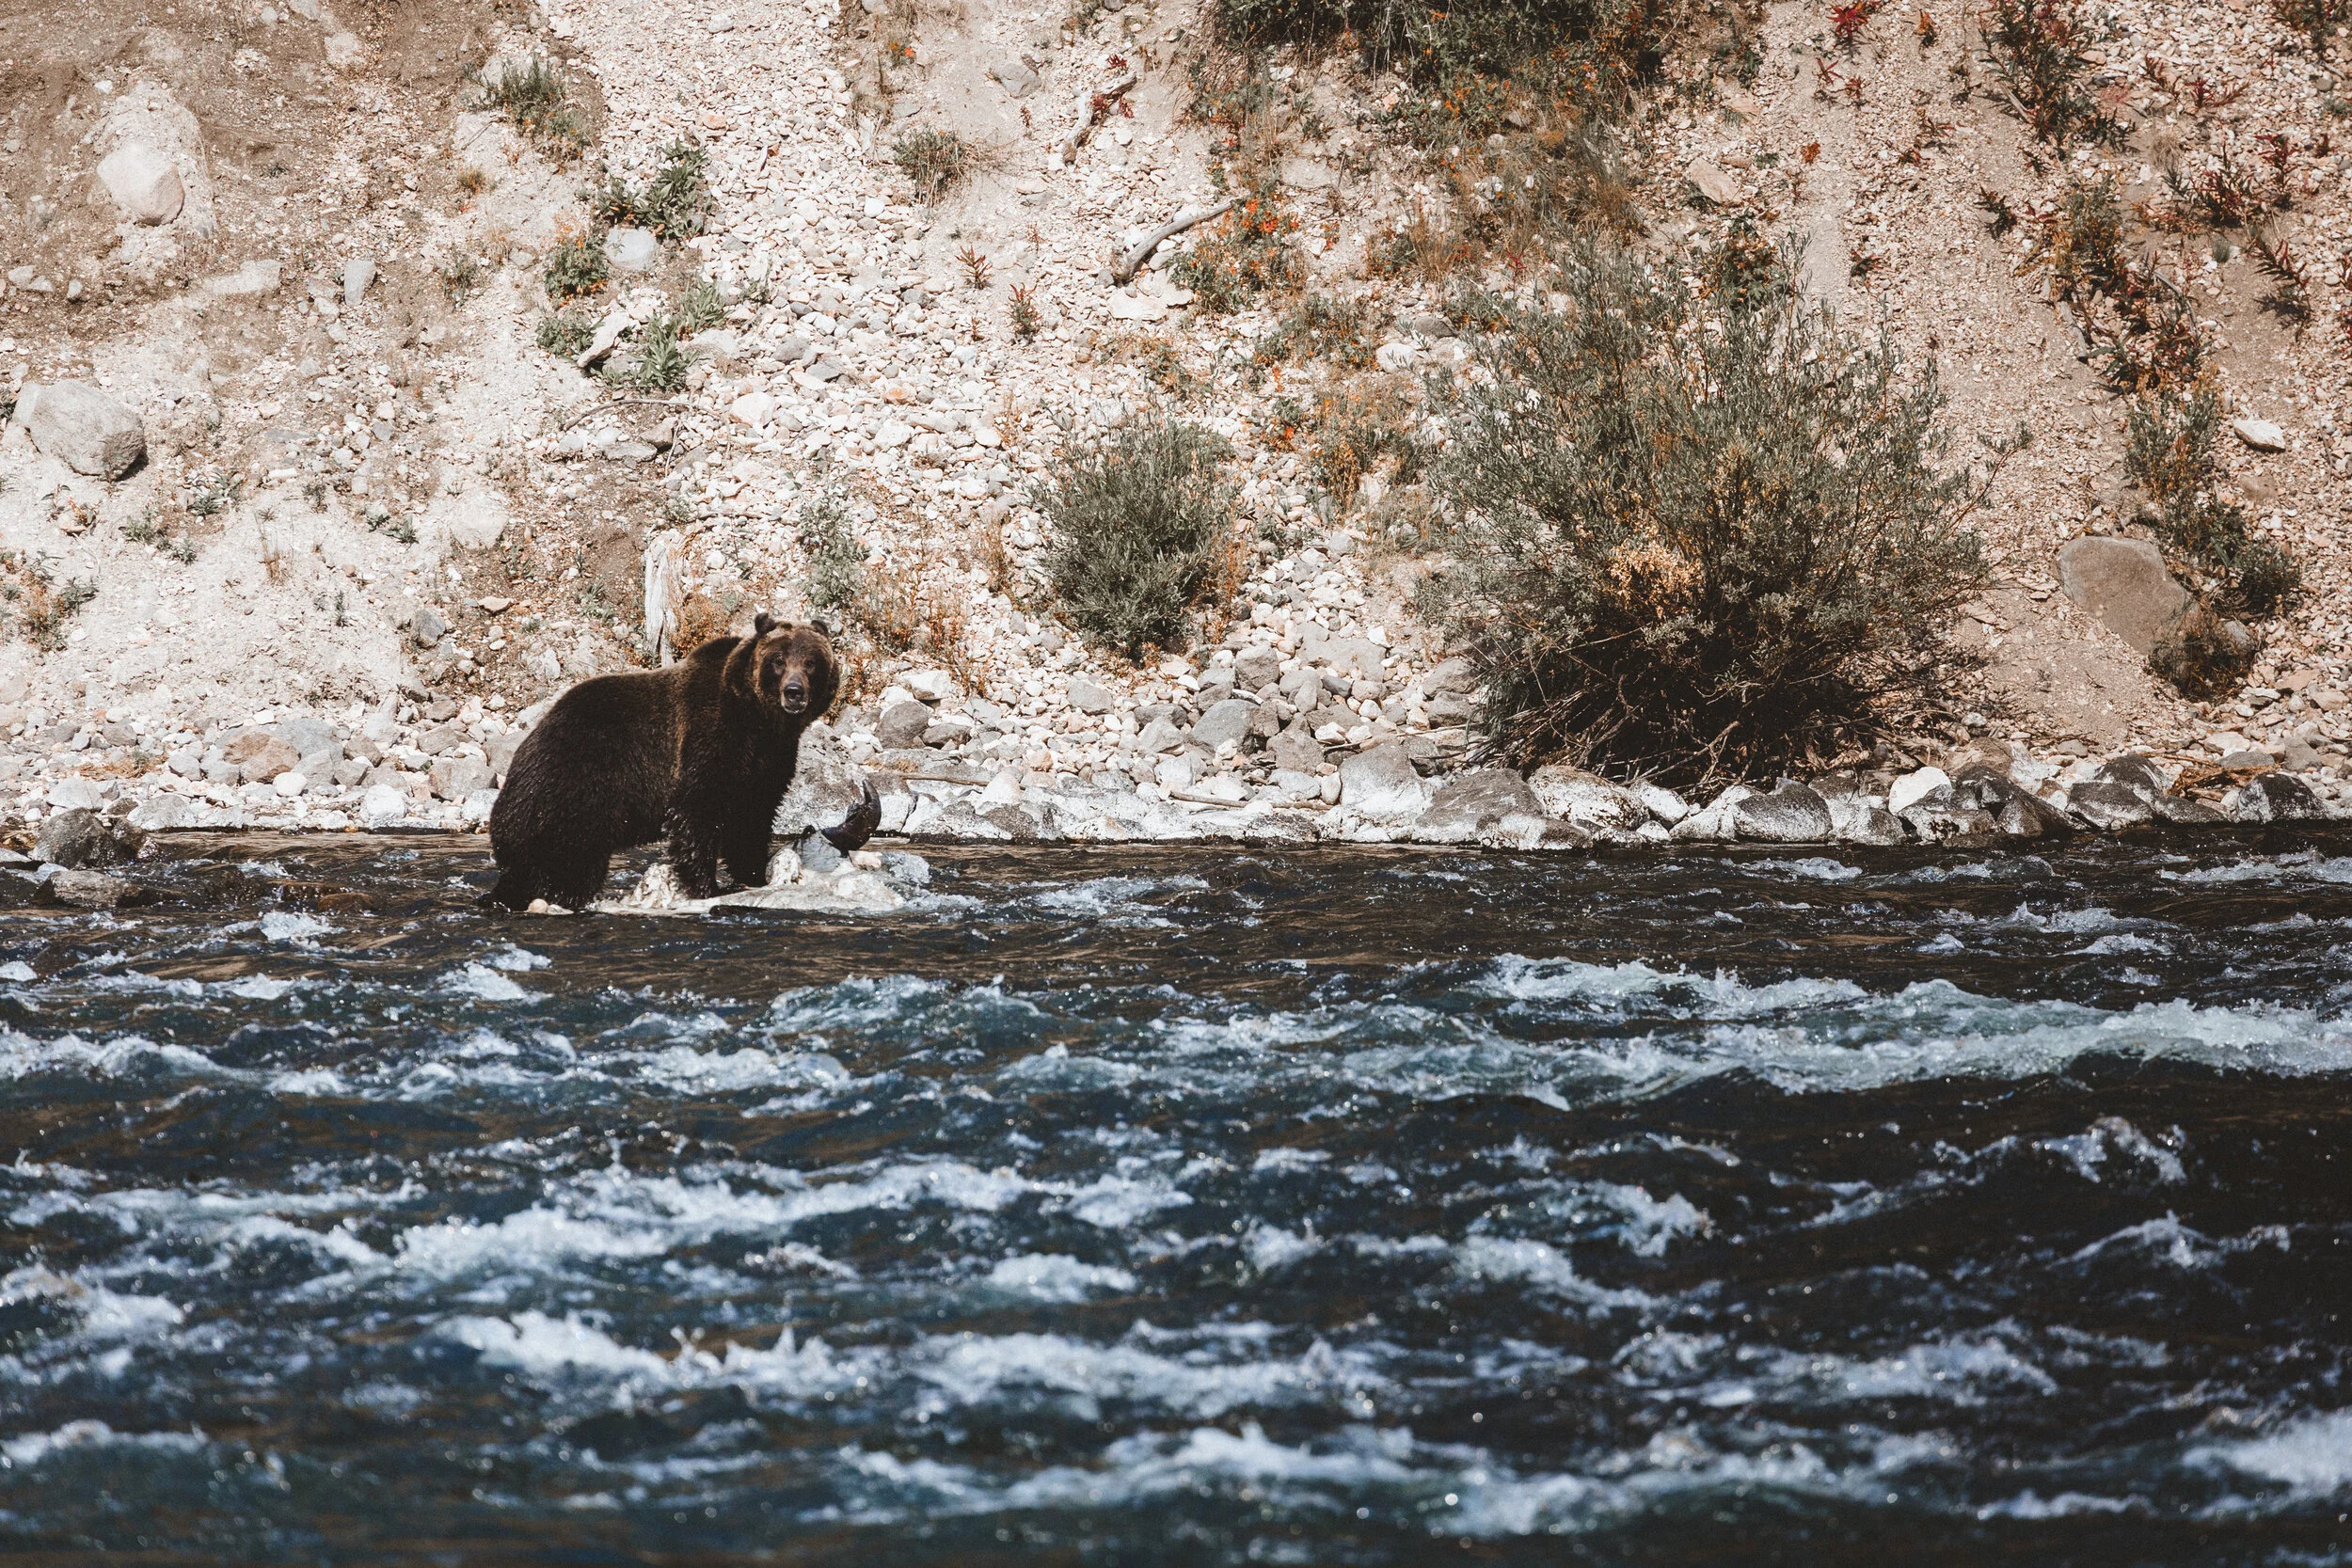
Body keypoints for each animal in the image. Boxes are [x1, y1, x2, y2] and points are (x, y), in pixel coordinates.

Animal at [485, 614, 839, 910]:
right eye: (778, 660)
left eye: (811, 662)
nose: (794, 692)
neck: (757, 718)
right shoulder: (710, 735)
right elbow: (697, 809)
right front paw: (706, 885)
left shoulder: (770, 758)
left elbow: (752, 816)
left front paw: (753, 874)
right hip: (574, 789)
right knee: (573, 865)